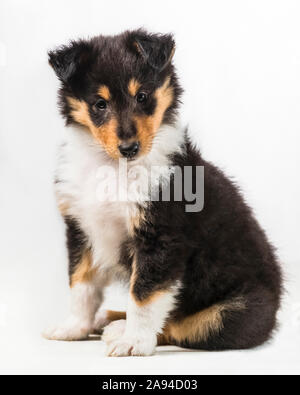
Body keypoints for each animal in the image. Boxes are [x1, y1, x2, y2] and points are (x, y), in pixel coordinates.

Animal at [44, 29, 282, 358]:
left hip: (232, 312)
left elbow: (144, 295)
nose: (129, 148)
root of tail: (276, 305)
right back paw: (106, 318)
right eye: (99, 104)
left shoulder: (161, 237)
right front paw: (72, 328)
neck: (113, 168)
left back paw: (117, 328)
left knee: (182, 326)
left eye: (142, 96)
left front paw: (133, 342)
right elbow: (81, 285)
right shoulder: (81, 229)